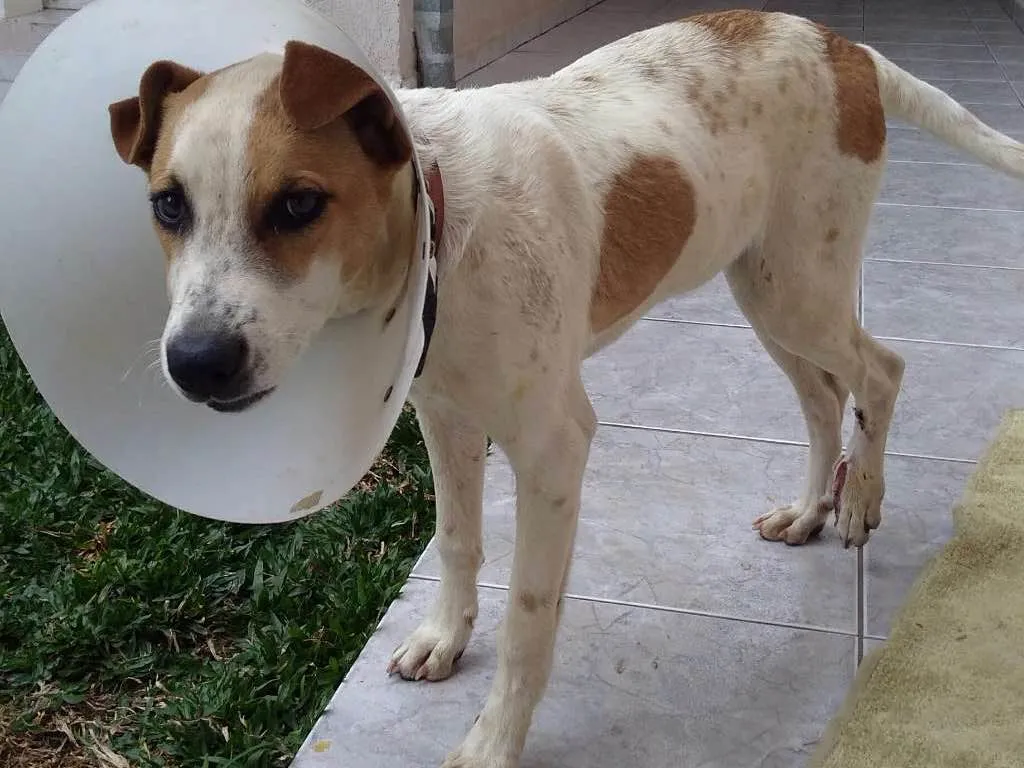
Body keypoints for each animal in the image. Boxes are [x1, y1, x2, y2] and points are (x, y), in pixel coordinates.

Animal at [108, 10, 1024, 766]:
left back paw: (861, 499)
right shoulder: (444, 415)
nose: (194, 363)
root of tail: (844, 46)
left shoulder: (553, 450)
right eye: (168, 206)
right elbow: (458, 543)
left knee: (881, 371)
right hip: (763, 290)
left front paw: (493, 741)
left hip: (800, 290)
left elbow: (529, 613)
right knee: (823, 398)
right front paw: (443, 639)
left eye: (299, 204)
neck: (442, 222)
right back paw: (810, 509)